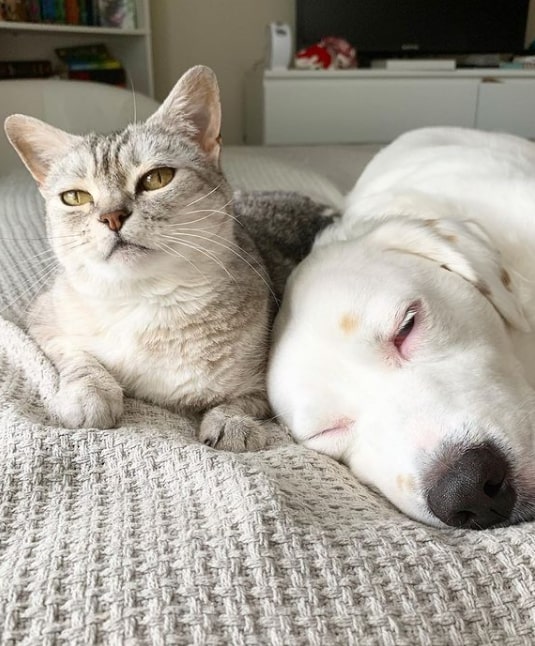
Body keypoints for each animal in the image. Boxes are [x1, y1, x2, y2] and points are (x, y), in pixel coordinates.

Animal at [5, 66, 276, 450]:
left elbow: (241, 400)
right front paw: (90, 394)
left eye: (156, 178)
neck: (145, 301)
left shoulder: (264, 387)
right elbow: (78, 355)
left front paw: (231, 421)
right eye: (75, 197)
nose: (112, 216)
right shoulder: (43, 318)